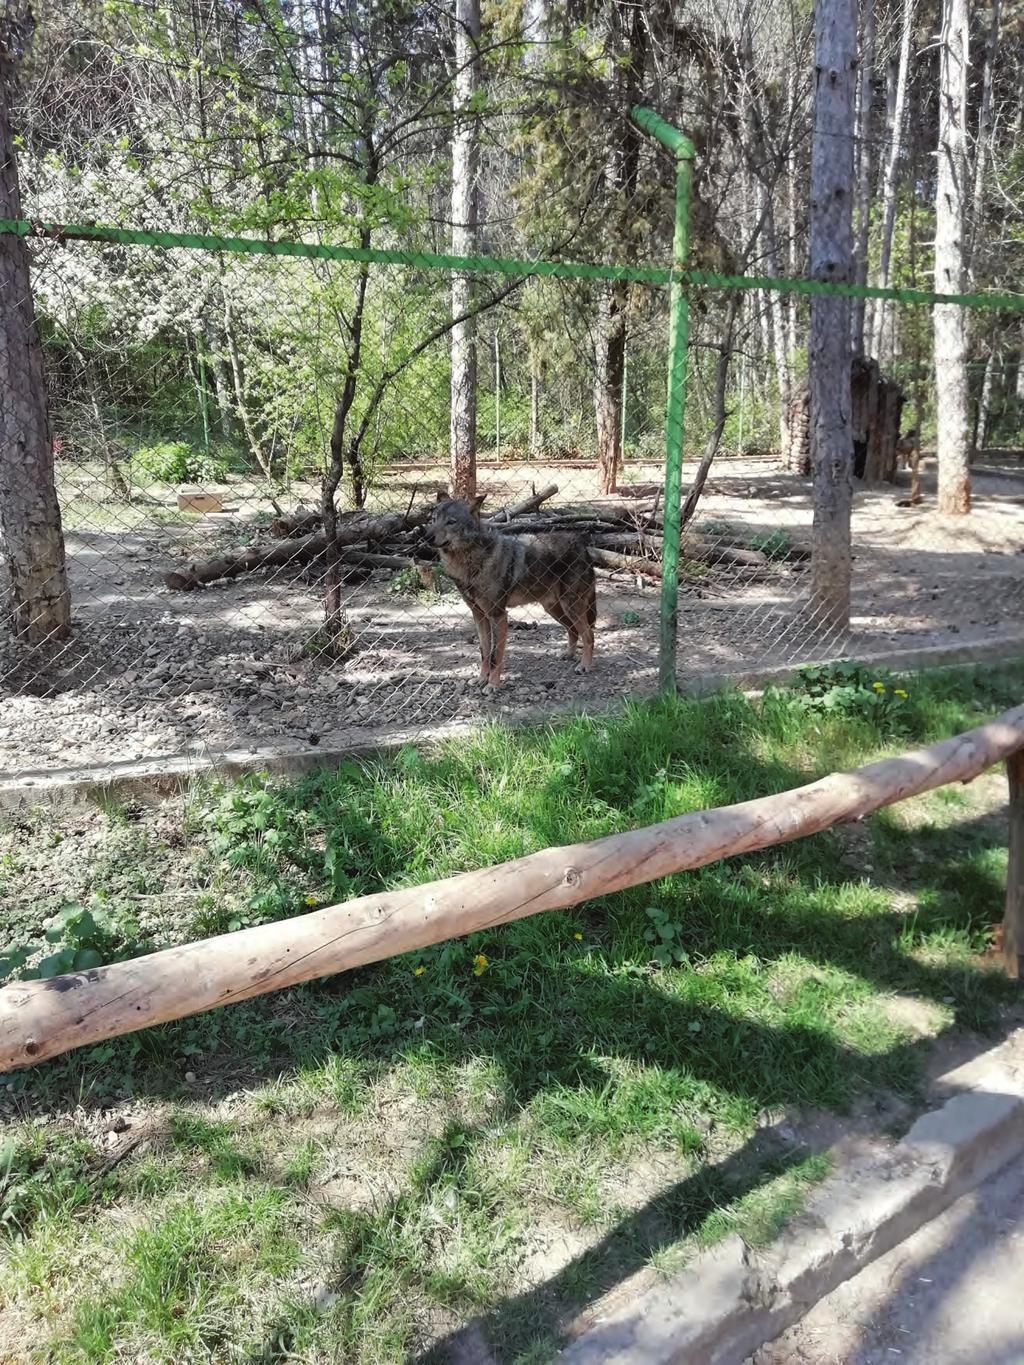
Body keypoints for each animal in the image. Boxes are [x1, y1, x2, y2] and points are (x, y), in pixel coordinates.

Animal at [425, 496, 600, 693]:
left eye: (451, 522)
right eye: (433, 520)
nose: (427, 536)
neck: (471, 563)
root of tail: (582, 546)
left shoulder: (498, 615)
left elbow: (495, 656)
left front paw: (492, 685)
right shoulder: (479, 616)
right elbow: (484, 652)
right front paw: (481, 679)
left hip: (571, 607)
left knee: (589, 635)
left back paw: (584, 666)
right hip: (554, 609)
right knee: (573, 630)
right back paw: (568, 655)